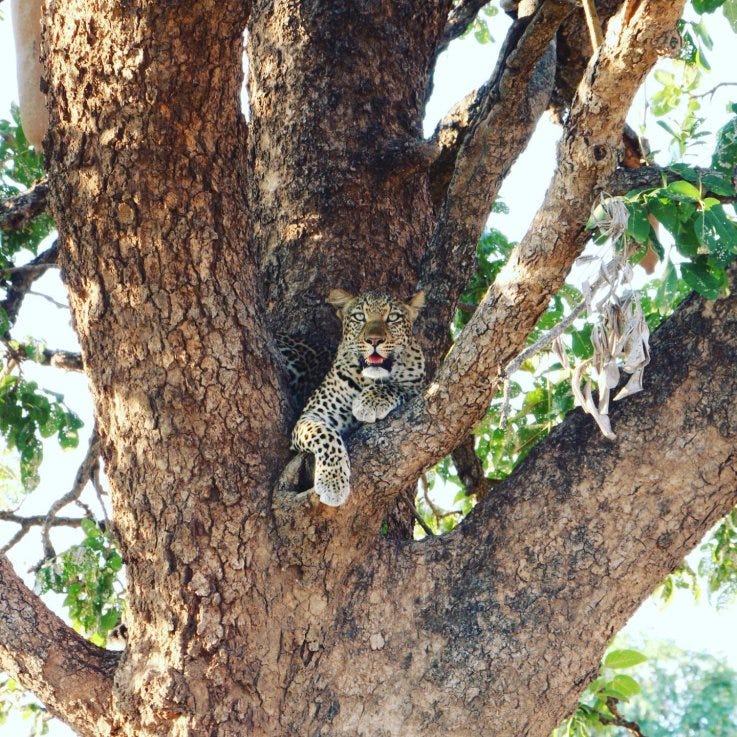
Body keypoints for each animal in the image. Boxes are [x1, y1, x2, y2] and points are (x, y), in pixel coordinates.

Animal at [291, 288, 426, 507]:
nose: (374, 341)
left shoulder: (419, 385)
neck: (368, 379)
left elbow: (400, 387)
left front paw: (368, 402)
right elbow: (326, 436)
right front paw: (333, 483)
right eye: (360, 317)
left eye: (392, 318)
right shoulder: (312, 416)